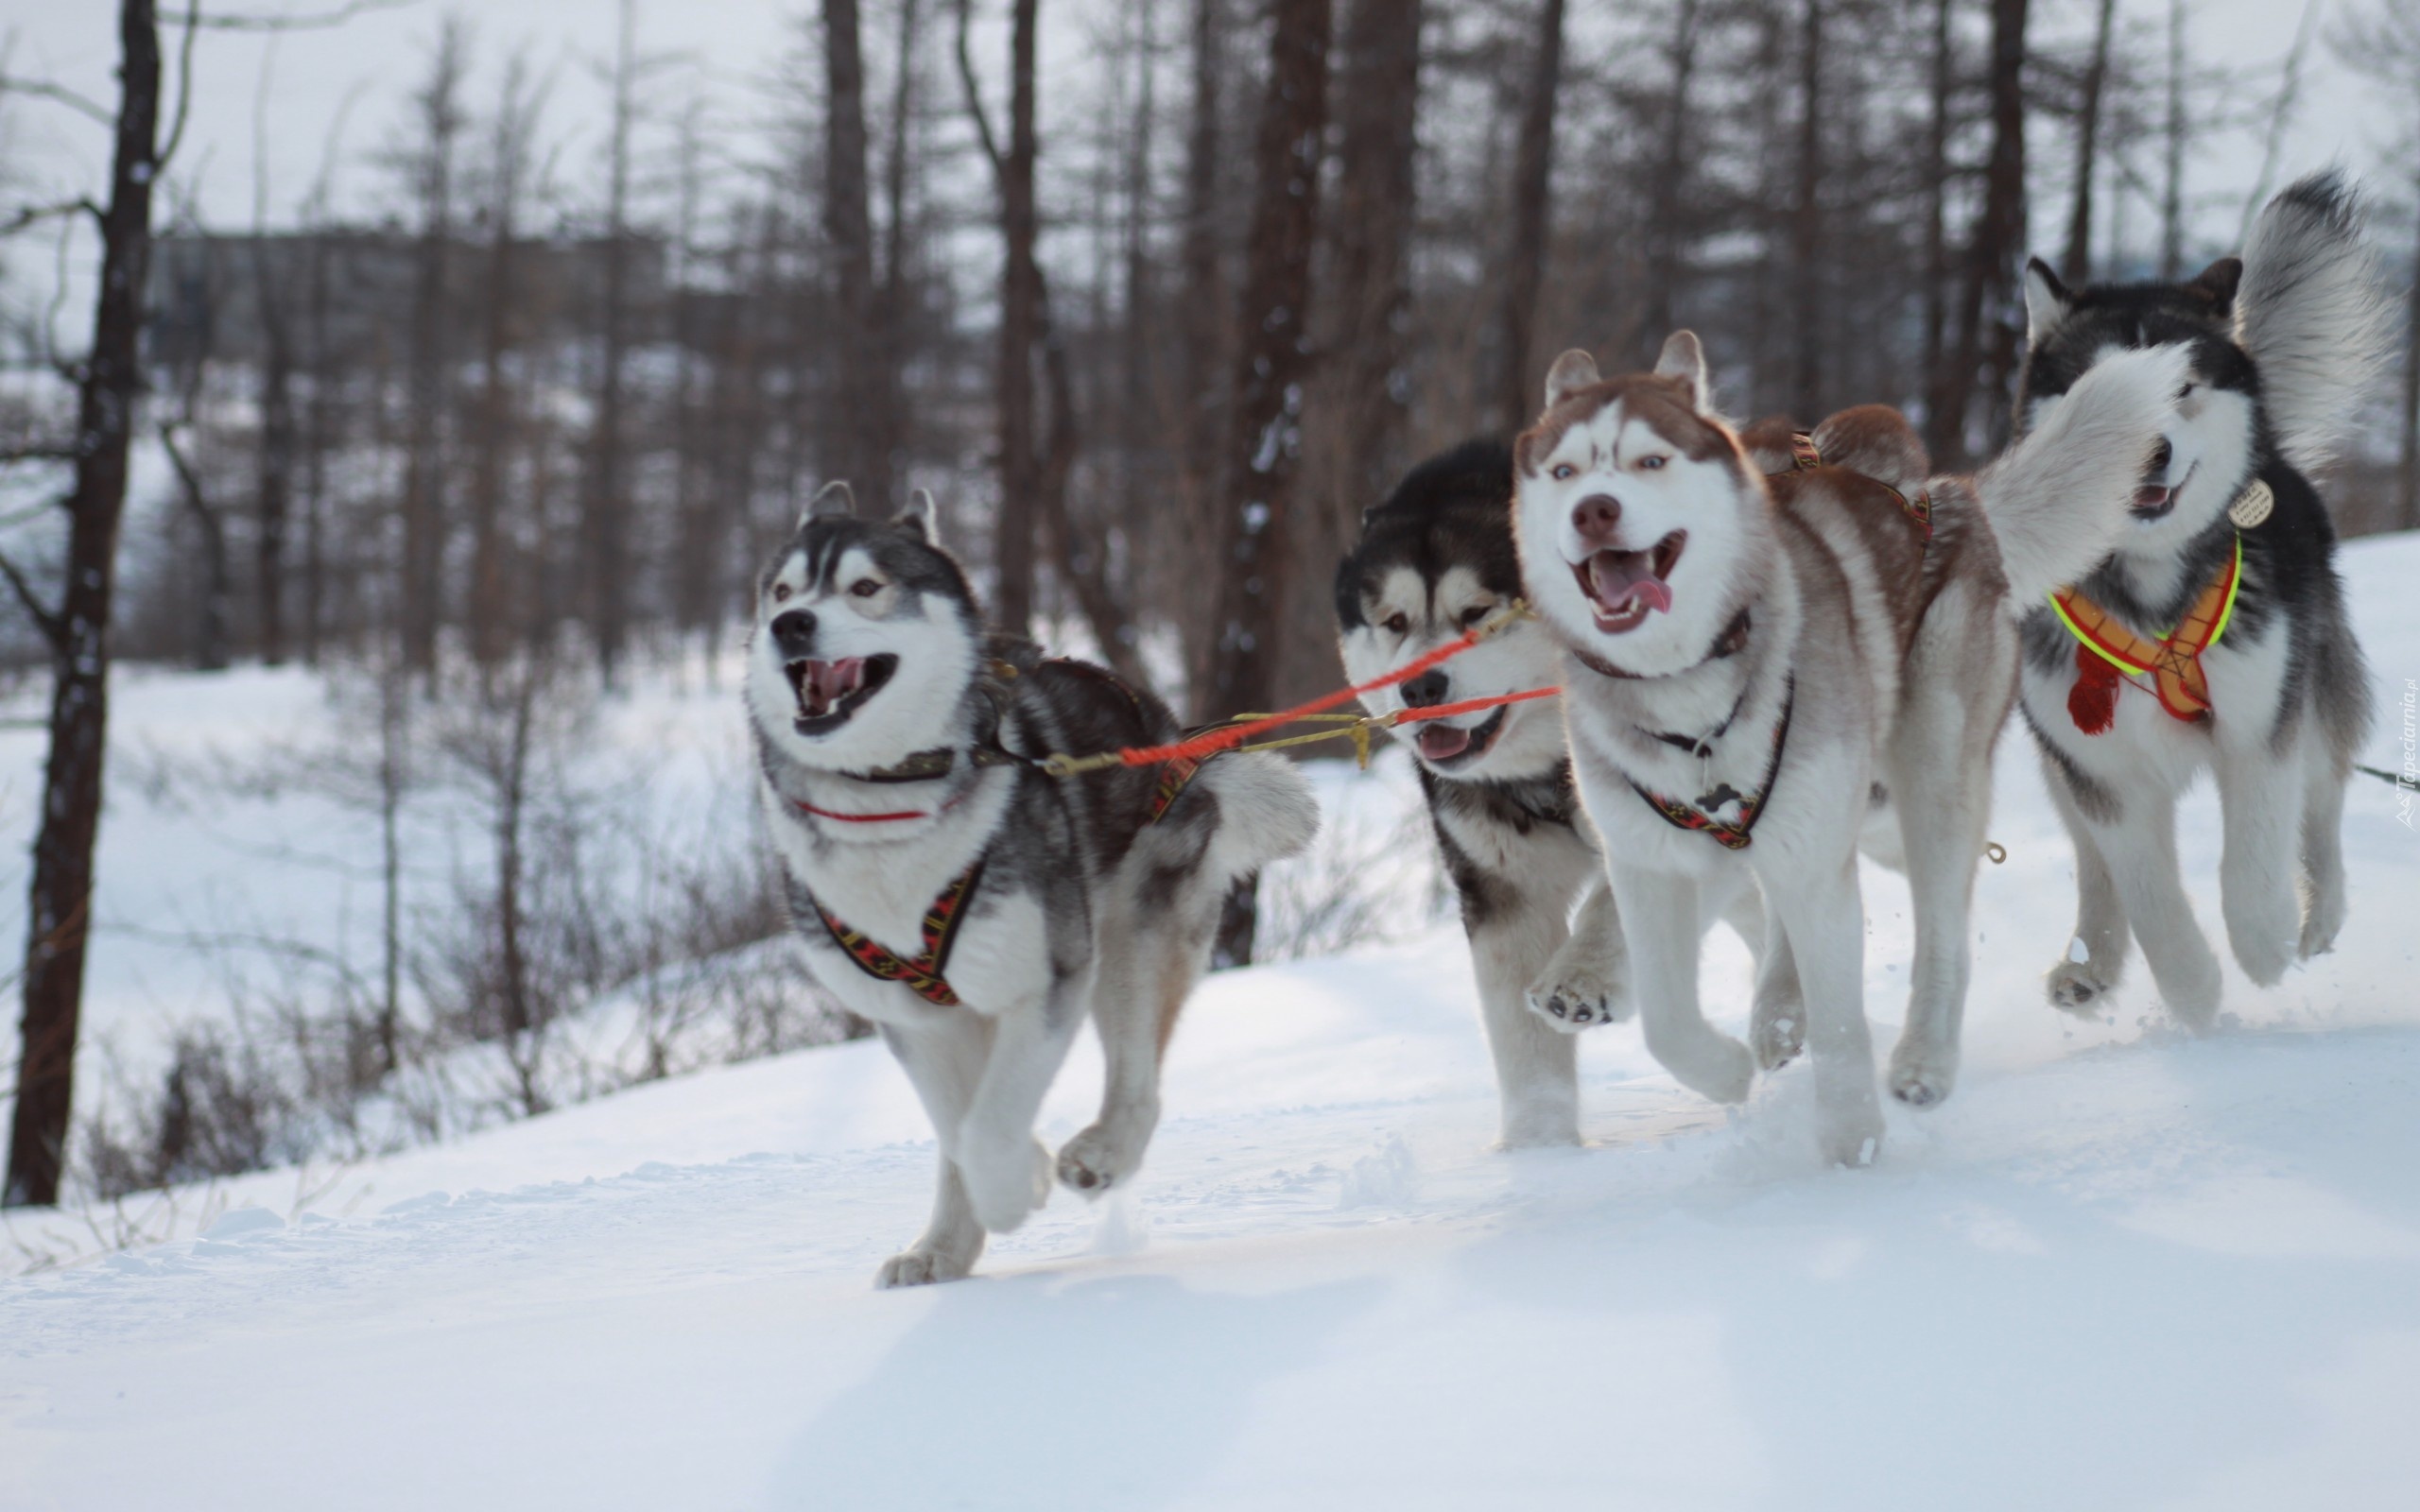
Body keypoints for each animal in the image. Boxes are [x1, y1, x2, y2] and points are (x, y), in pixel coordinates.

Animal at [745, 484, 1316, 1286]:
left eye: (865, 587)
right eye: (782, 592)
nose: (789, 625)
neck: (888, 805)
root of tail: (1172, 736)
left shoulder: (1047, 982)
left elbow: (988, 1125)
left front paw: (1019, 1186)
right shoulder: (916, 1021)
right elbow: (959, 1129)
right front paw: (948, 1246)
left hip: (1128, 940)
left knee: (1139, 1081)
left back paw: (1101, 1152)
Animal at [1510, 326, 2178, 1156]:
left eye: (1651, 462)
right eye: (1564, 471)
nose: (1592, 511)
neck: (1688, 701)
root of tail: (1951, 495)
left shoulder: (1795, 838)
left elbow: (1837, 1013)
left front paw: (1850, 1143)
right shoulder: (1653, 857)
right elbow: (1666, 1020)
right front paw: (1723, 1070)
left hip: (1924, 784)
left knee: (1943, 929)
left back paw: (1922, 1057)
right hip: (1854, 817)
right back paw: (1775, 1011)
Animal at [2003, 174, 2381, 1025]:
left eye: (2183, 388)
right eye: (2098, 394)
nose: (2150, 449)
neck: (2150, 590)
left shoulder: (2261, 727)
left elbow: (2255, 855)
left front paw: (2264, 943)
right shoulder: (2101, 768)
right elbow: (2144, 890)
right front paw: (2194, 990)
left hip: (2315, 685)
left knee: (2323, 807)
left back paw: (2320, 916)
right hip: (2058, 758)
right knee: (2093, 864)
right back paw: (2089, 963)